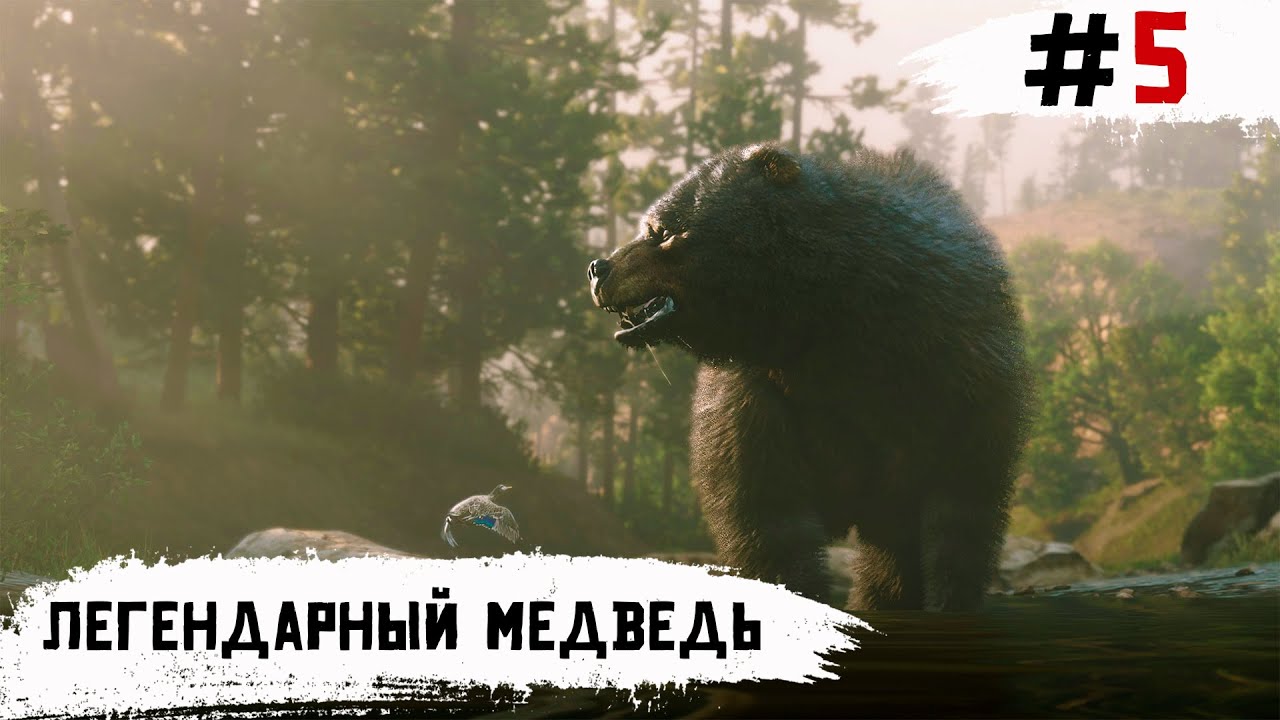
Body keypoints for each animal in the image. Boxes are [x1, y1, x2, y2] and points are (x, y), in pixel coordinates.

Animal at [587, 143, 1033, 611]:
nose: (598, 267)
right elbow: (765, 507)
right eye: (651, 225)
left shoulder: (951, 375)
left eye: (661, 230)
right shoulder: (764, 393)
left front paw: (948, 598)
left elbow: (959, 506)